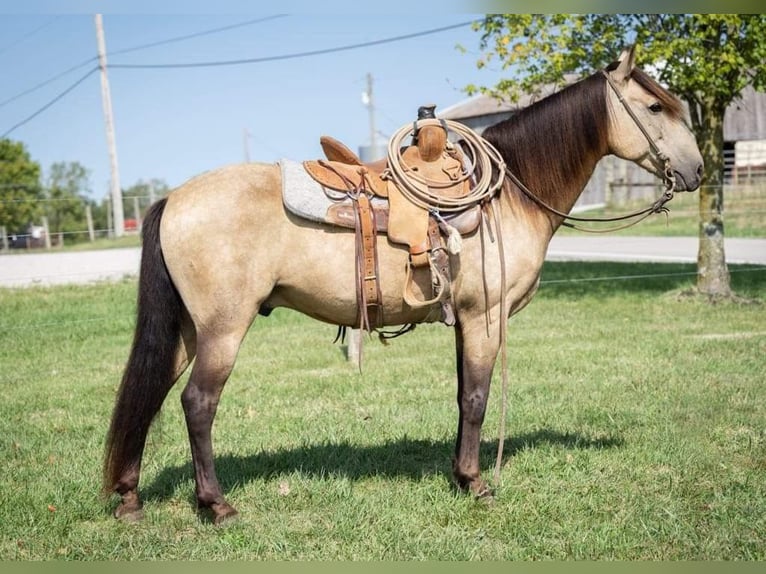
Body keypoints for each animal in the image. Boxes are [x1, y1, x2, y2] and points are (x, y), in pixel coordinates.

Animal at [103, 48, 708, 528]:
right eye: (656, 107)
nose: (699, 170)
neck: (510, 195)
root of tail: (174, 199)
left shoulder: (466, 320)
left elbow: (463, 395)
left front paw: (459, 476)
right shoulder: (486, 317)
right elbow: (478, 397)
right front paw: (476, 483)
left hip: (188, 330)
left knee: (150, 395)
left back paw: (130, 497)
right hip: (224, 328)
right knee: (197, 403)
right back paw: (216, 505)